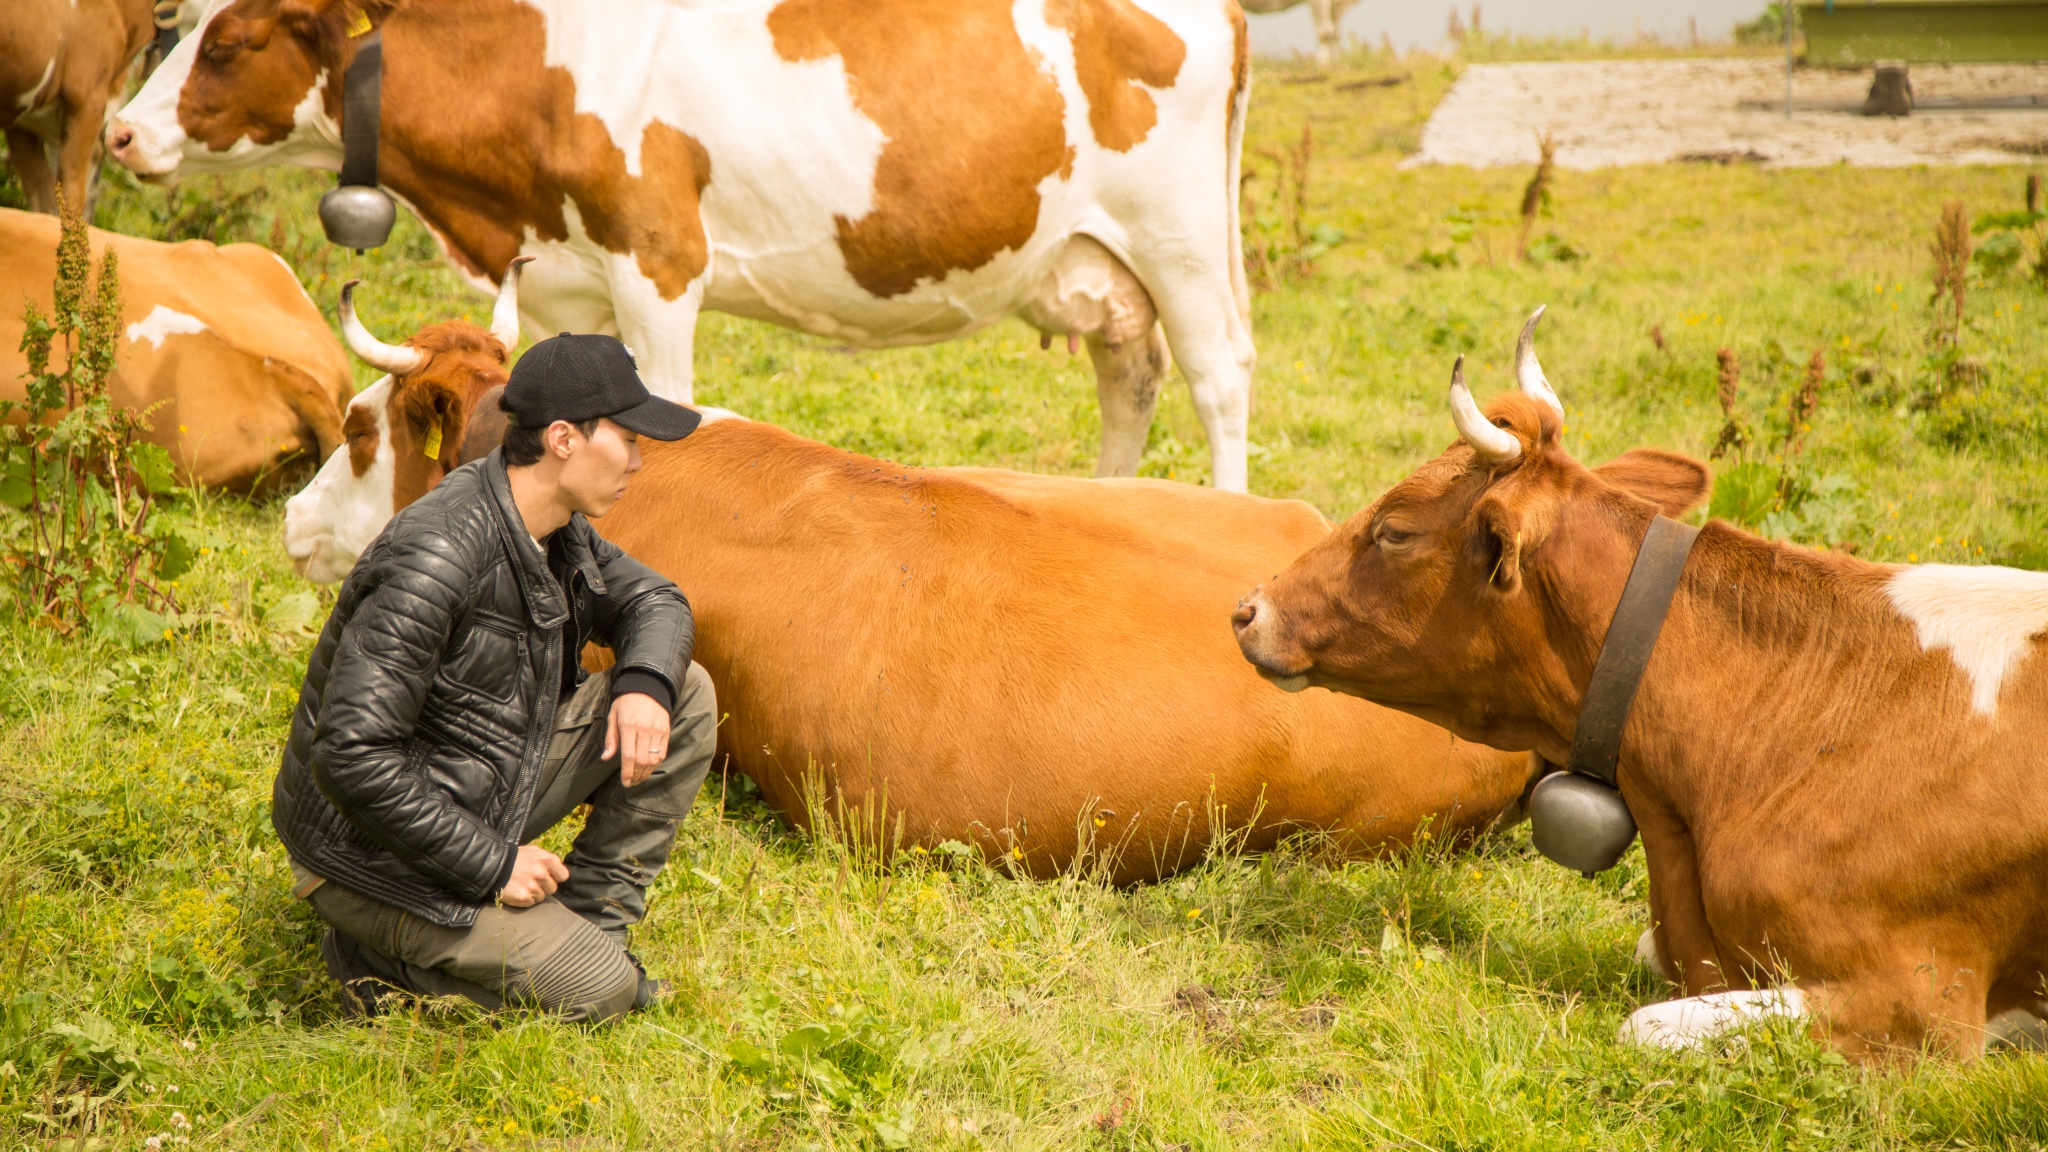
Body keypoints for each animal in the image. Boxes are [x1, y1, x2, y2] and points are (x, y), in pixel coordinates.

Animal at [116, 0, 1261, 487]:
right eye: (177, 28)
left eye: (229, 41)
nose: (122, 132)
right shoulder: (561, 275)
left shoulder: (657, 260)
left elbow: (663, 399)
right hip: (1099, 258)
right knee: (1129, 376)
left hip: (1183, 238)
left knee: (1217, 379)